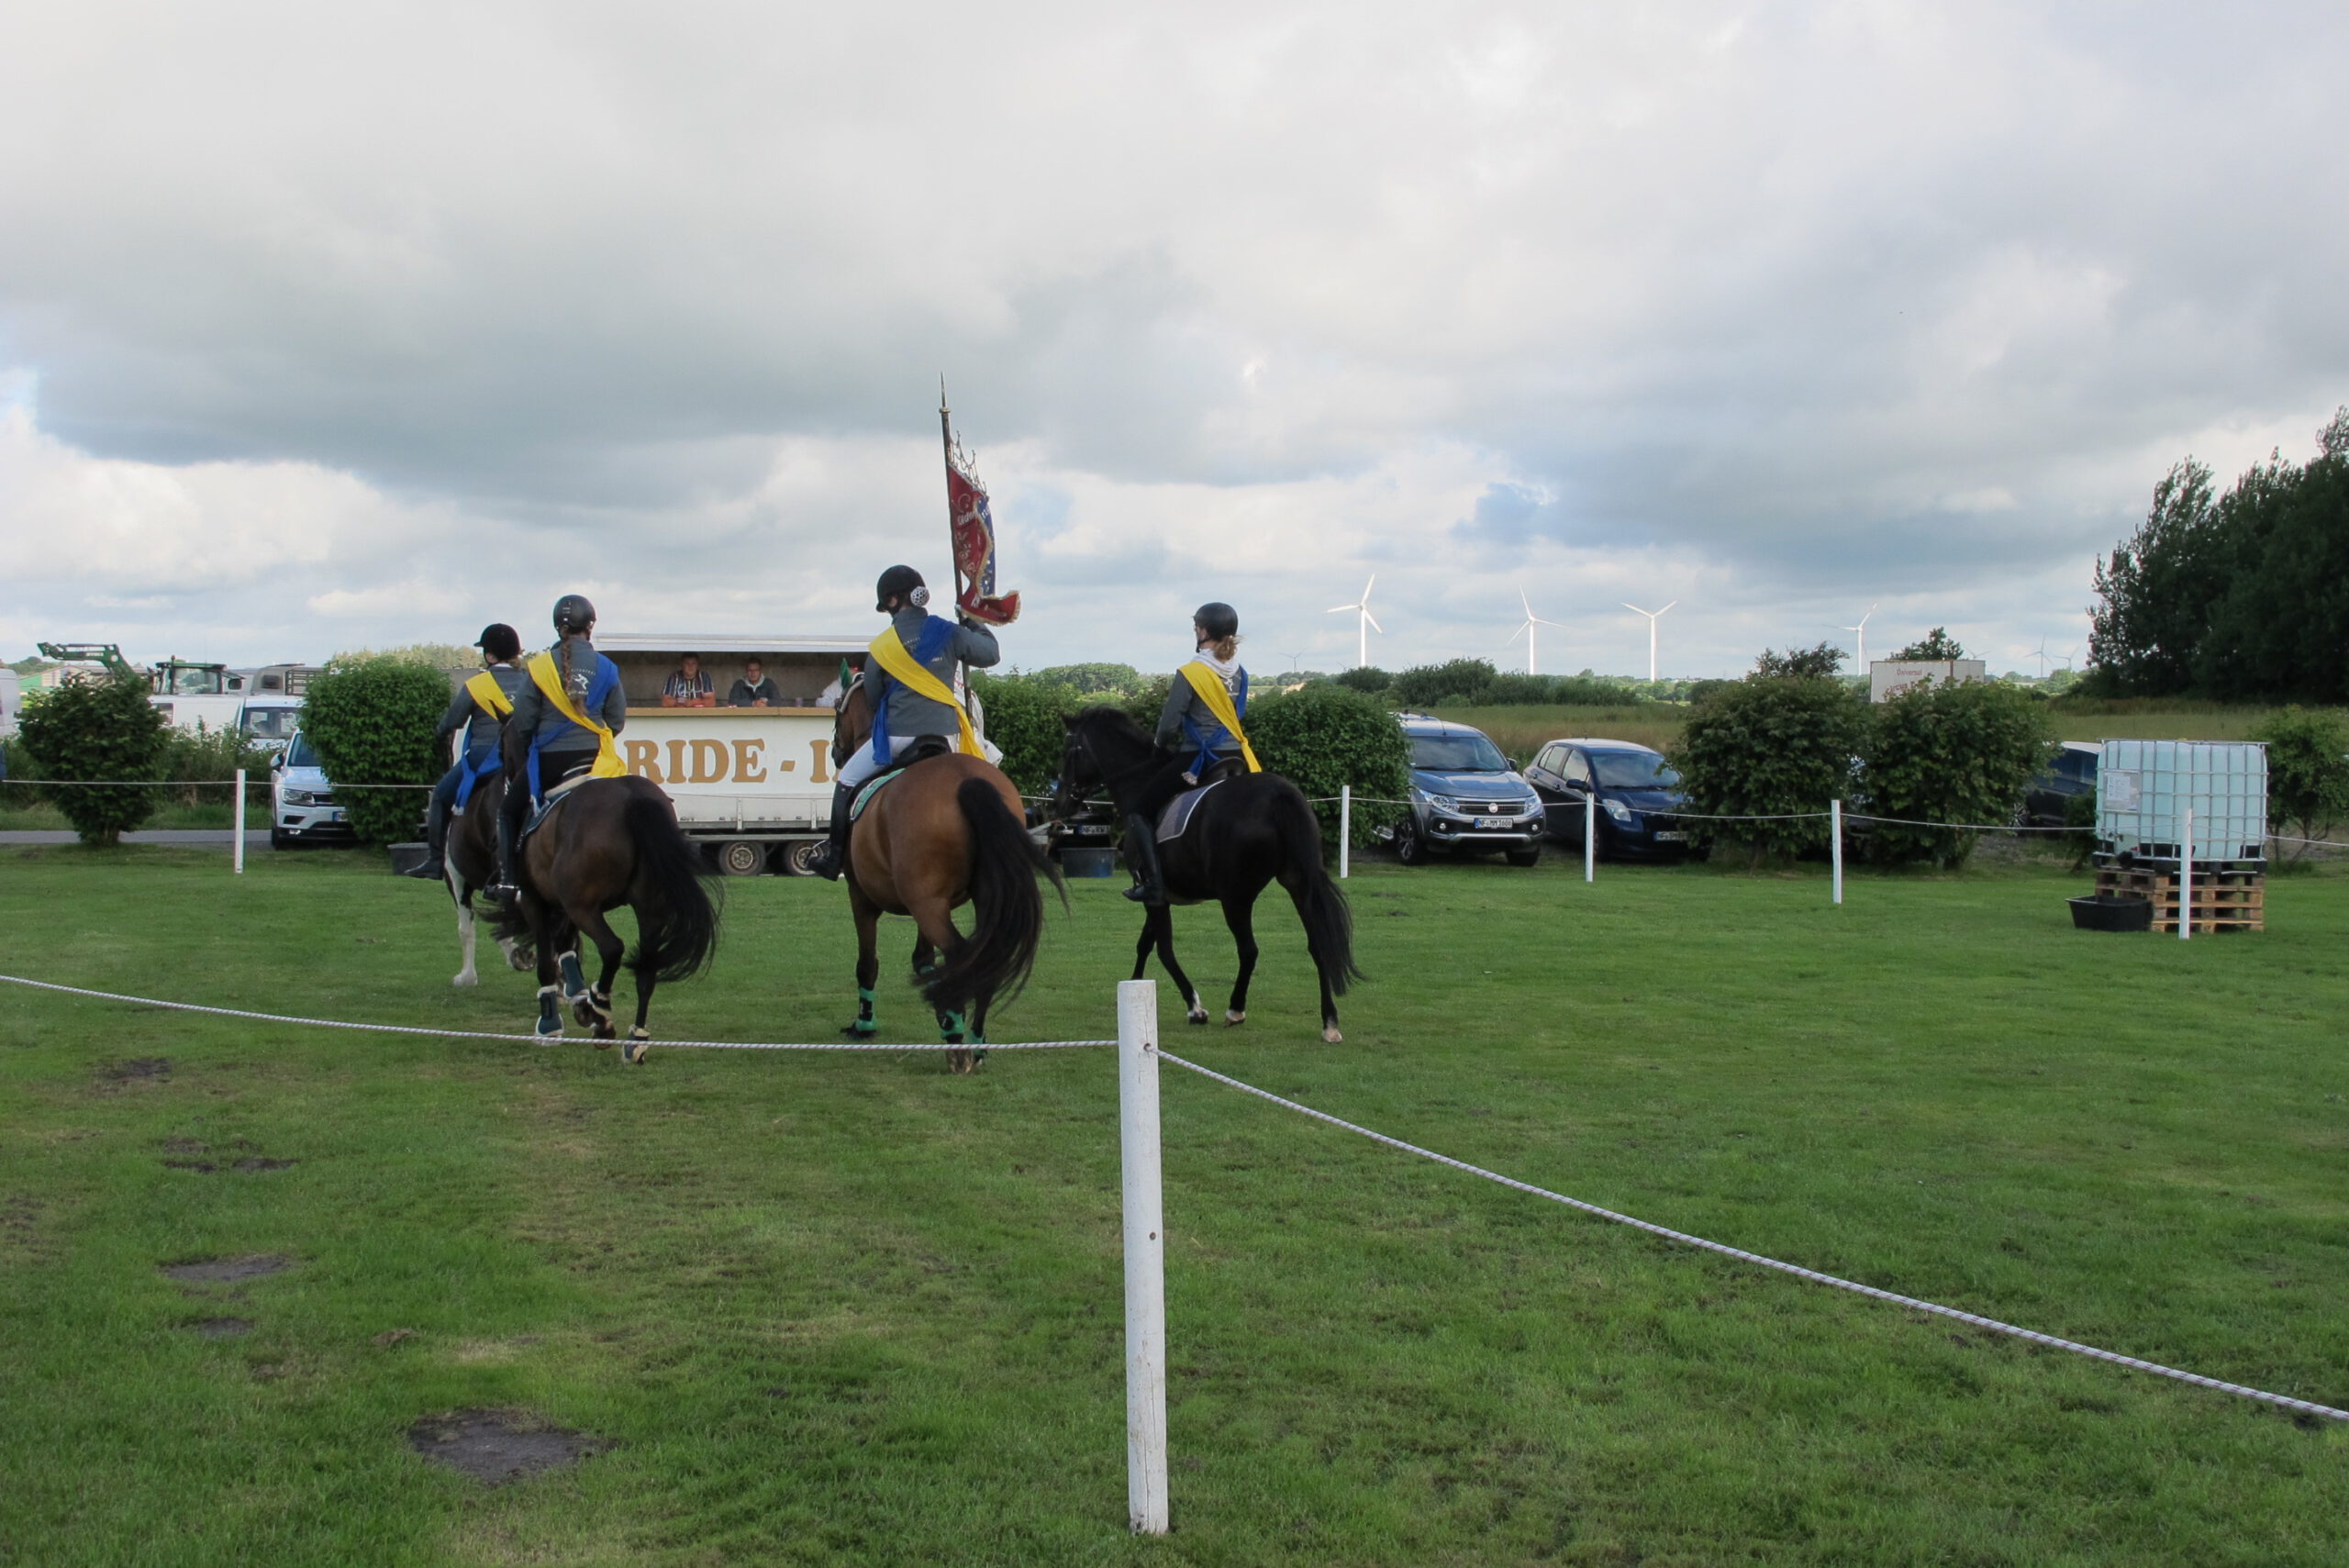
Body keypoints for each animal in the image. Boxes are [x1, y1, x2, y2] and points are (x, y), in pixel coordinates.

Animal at [503, 768, 722, 1064]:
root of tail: (633, 796)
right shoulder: (563, 907)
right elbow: (566, 949)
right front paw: (577, 1001)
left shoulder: (534, 901)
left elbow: (547, 963)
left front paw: (551, 1025)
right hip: (649, 907)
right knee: (647, 968)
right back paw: (635, 1040)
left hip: (584, 907)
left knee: (612, 948)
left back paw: (600, 1009)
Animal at [830, 678, 1063, 1073]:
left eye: (836, 710)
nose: (834, 752)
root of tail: (966, 780)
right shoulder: (924, 903)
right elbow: (924, 961)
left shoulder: (862, 898)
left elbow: (867, 964)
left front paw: (864, 1025)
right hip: (969, 899)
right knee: (983, 958)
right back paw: (976, 1042)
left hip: (927, 903)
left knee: (960, 954)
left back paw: (956, 1042)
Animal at [1054, 706, 1358, 1043]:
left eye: (1068, 750)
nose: (1060, 802)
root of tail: (1279, 794)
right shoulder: (1158, 895)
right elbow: (1145, 944)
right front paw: (1134, 989)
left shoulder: (1154, 897)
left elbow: (1164, 950)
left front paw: (1194, 1008)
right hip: (1298, 885)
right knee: (1318, 945)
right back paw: (1329, 1022)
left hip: (1236, 896)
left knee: (1248, 950)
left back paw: (1235, 1010)